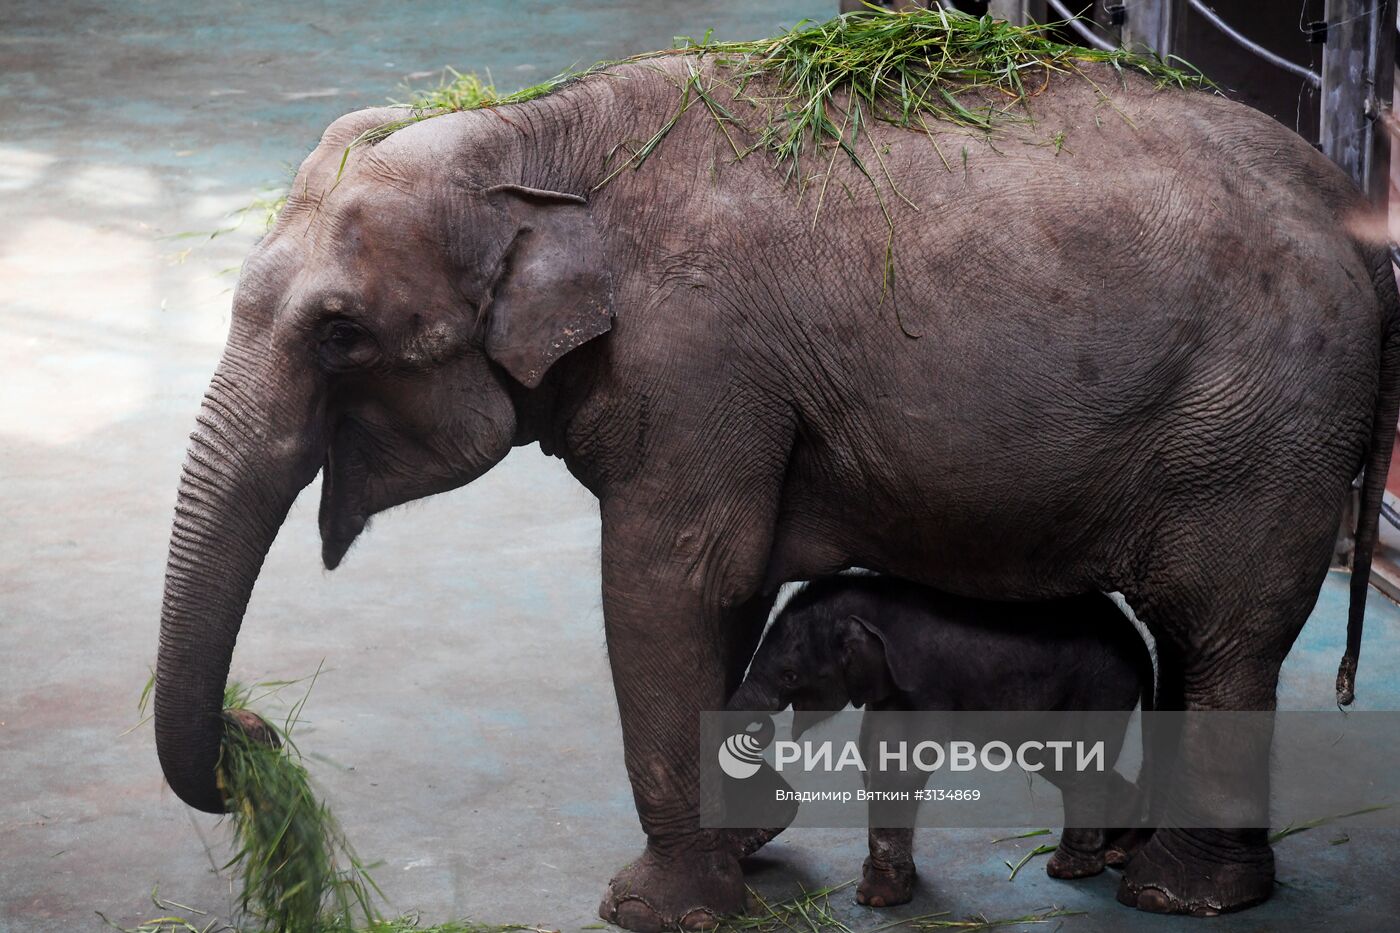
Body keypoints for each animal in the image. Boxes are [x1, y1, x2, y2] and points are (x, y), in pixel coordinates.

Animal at [728, 571, 1153, 902]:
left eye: (789, 675)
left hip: (1101, 683)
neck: (873, 601)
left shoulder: (921, 680)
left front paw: (875, 898)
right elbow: (871, 753)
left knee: (1075, 759)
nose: (759, 729)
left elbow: (898, 766)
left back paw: (1070, 870)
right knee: (1058, 759)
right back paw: (1116, 848)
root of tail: (1138, 640)